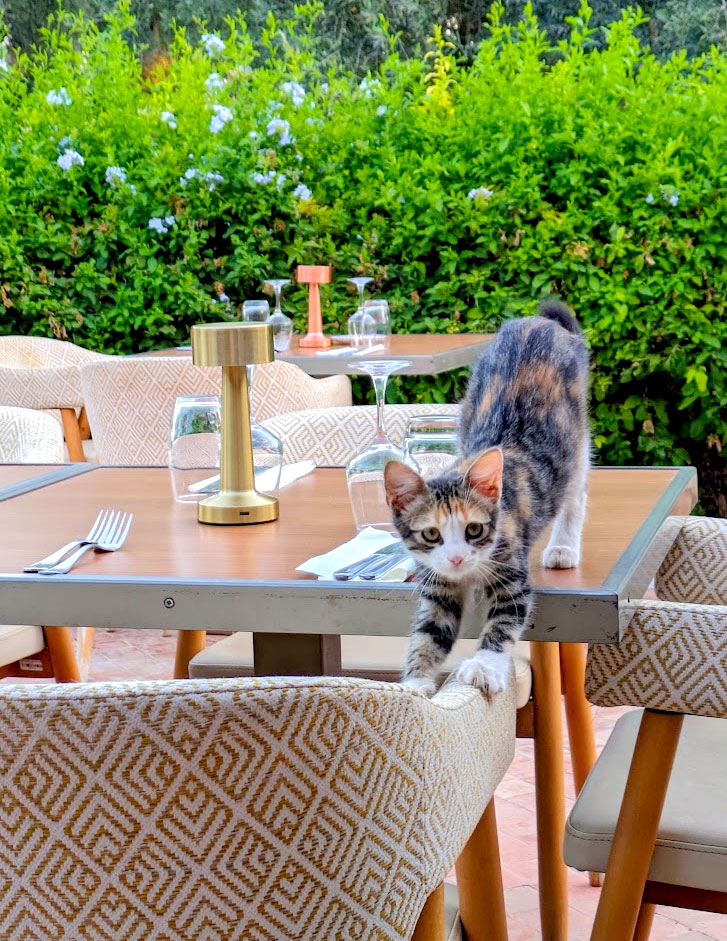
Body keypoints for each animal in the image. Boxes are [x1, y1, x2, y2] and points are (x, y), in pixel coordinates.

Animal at [384, 302, 588, 696]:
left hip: (576, 434)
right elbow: (429, 632)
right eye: (431, 534)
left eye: (474, 529)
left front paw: (483, 665)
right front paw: (416, 683)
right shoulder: (437, 584)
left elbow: (505, 620)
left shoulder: (512, 570)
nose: (458, 558)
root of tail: (539, 322)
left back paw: (563, 548)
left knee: (575, 490)